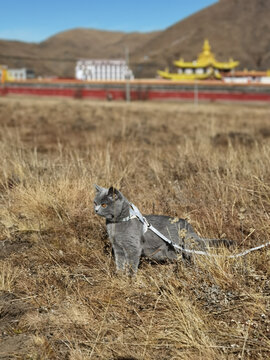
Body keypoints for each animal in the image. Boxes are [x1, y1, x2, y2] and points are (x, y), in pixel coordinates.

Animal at [93, 186, 230, 276]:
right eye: (95, 202)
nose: (95, 210)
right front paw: (120, 275)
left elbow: (132, 264)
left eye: (104, 204)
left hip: (187, 246)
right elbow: (120, 262)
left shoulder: (133, 247)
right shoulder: (118, 247)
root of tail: (189, 226)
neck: (116, 224)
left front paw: (130, 278)